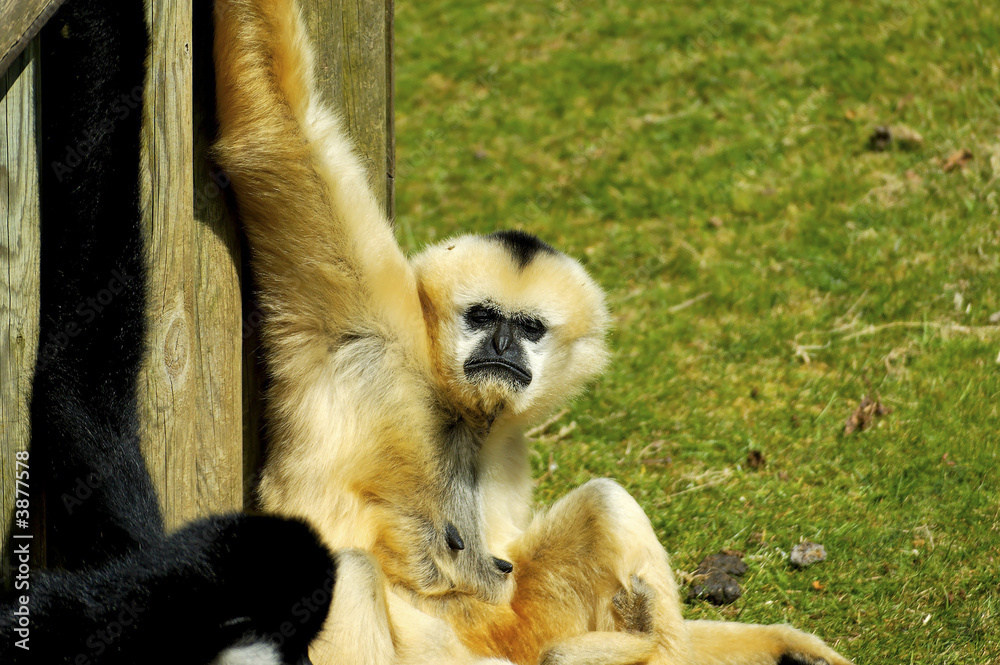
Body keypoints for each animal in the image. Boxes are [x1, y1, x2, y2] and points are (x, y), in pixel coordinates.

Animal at [212, 1, 856, 664]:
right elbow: (282, 129)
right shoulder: (364, 327)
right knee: (349, 569)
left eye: (528, 328)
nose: (501, 346)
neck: (457, 411)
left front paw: (788, 643)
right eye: (481, 316)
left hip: (518, 627)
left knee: (602, 505)